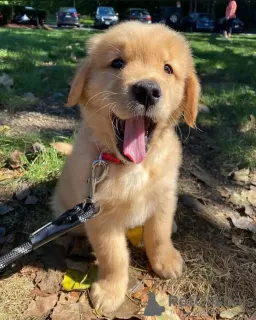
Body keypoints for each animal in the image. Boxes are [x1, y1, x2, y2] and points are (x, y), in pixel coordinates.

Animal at [51, 21, 200, 312]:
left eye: (168, 68)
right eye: (117, 63)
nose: (147, 91)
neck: (132, 166)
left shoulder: (164, 196)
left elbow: (159, 233)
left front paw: (166, 260)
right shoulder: (100, 216)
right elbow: (114, 257)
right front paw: (110, 292)